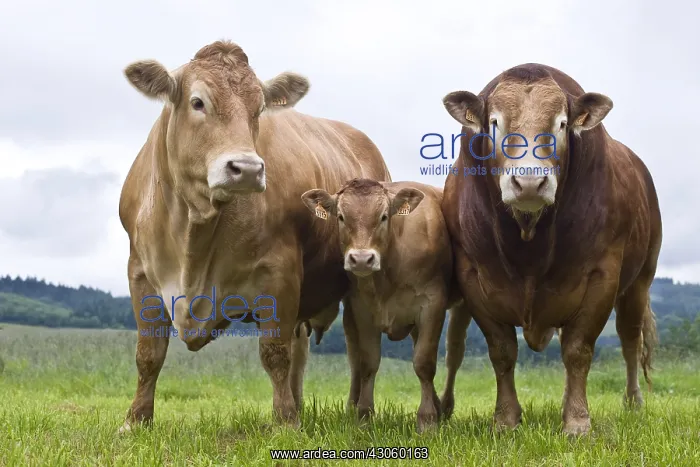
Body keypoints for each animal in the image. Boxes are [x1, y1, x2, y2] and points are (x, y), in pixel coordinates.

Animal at [117, 40, 391, 432]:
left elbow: (274, 352)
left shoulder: (280, 275)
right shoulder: (140, 273)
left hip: (360, 283)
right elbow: (148, 355)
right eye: (198, 102)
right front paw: (136, 419)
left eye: (258, 108)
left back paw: (359, 413)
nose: (246, 168)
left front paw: (286, 422)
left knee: (362, 357)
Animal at [301, 178, 466, 432]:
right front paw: (364, 417)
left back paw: (445, 407)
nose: (361, 259)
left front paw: (427, 420)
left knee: (454, 355)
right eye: (341, 216)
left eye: (383, 216)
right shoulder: (361, 309)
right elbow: (368, 362)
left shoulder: (432, 305)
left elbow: (424, 363)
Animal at [438, 63, 661, 435]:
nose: (529, 181)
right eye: (495, 122)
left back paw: (633, 402)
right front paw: (506, 419)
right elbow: (502, 351)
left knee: (631, 340)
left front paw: (577, 421)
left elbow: (577, 350)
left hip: (639, 282)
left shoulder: (601, 276)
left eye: (561, 123)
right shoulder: (472, 276)